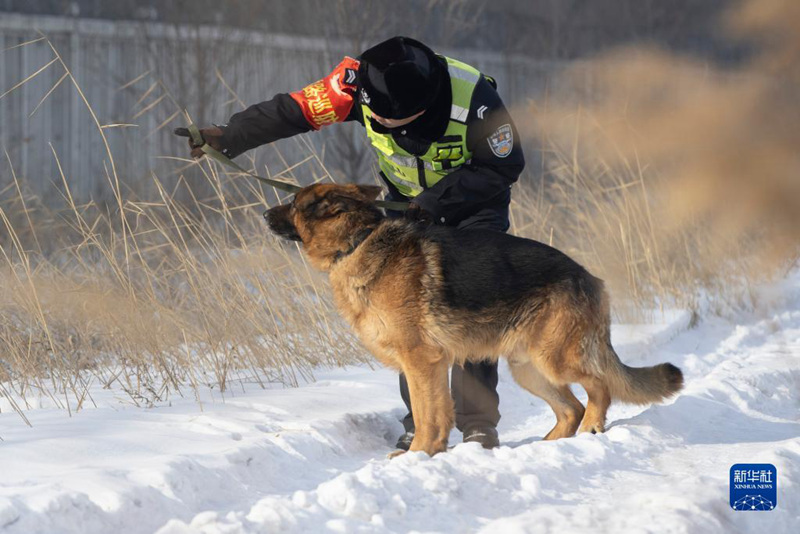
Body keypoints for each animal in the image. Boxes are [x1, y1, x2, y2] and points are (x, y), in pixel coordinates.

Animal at [268, 184, 680, 456]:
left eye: (293, 203)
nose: (264, 214)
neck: (358, 240)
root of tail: (590, 278)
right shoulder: (428, 365)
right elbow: (433, 412)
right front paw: (429, 452)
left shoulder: (421, 362)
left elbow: (426, 414)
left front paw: (419, 454)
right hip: (527, 367)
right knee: (570, 408)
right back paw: (544, 446)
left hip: (555, 359)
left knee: (598, 387)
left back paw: (592, 426)